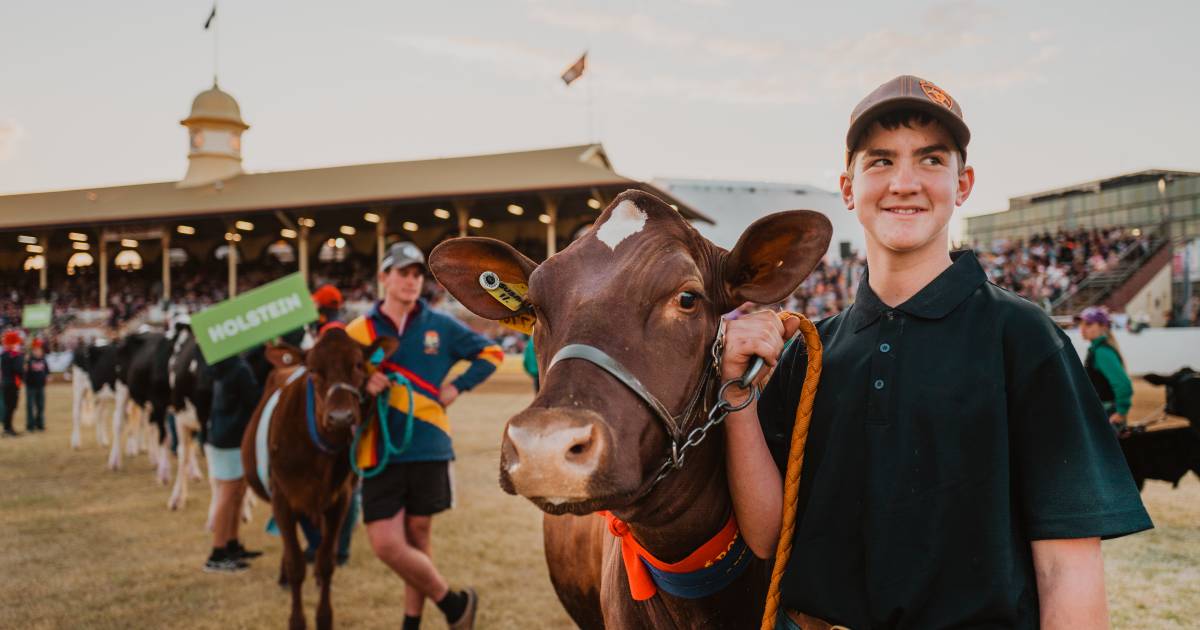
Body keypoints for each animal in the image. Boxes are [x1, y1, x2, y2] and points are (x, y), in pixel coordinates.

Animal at [240, 328, 398, 628]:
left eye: (358, 364)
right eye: (313, 370)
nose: (340, 417)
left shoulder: (339, 499)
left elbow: (326, 562)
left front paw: (324, 617)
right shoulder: (283, 498)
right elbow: (295, 564)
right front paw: (297, 620)